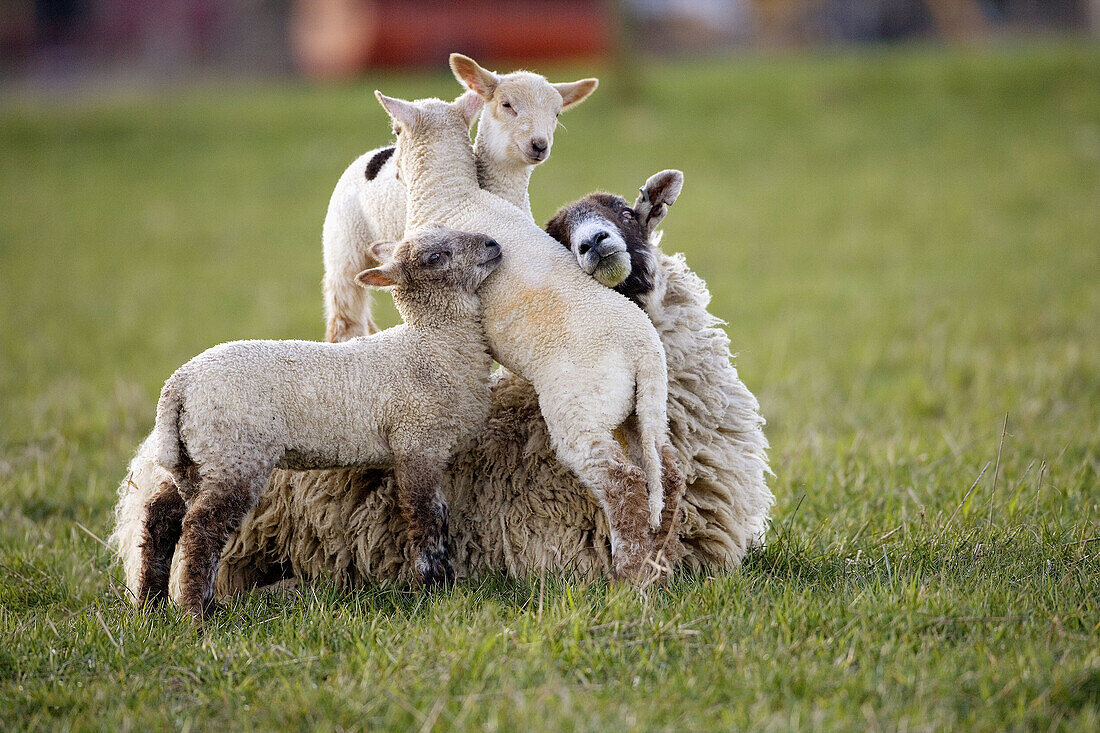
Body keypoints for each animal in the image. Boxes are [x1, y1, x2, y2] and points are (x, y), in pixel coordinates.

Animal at [140, 224, 499, 616]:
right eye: (434, 257)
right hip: (234, 453)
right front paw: (435, 587)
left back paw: (149, 604)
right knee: (200, 528)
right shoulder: (417, 442)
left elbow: (440, 515)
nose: (493, 245)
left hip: (193, 458)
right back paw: (197, 614)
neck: (432, 348)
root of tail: (178, 385)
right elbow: (426, 518)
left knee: (161, 517)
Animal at [321, 52, 598, 341]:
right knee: (345, 316)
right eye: (507, 104)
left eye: (557, 114)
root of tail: (373, 154)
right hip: (343, 246)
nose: (539, 145)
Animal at [378, 89, 682, 576]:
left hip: (580, 414)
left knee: (625, 484)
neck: (448, 191)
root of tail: (642, 349)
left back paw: (629, 576)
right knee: (668, 475)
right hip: (645, 409)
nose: (392, 169)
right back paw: (661, 565)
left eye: (395, 129)